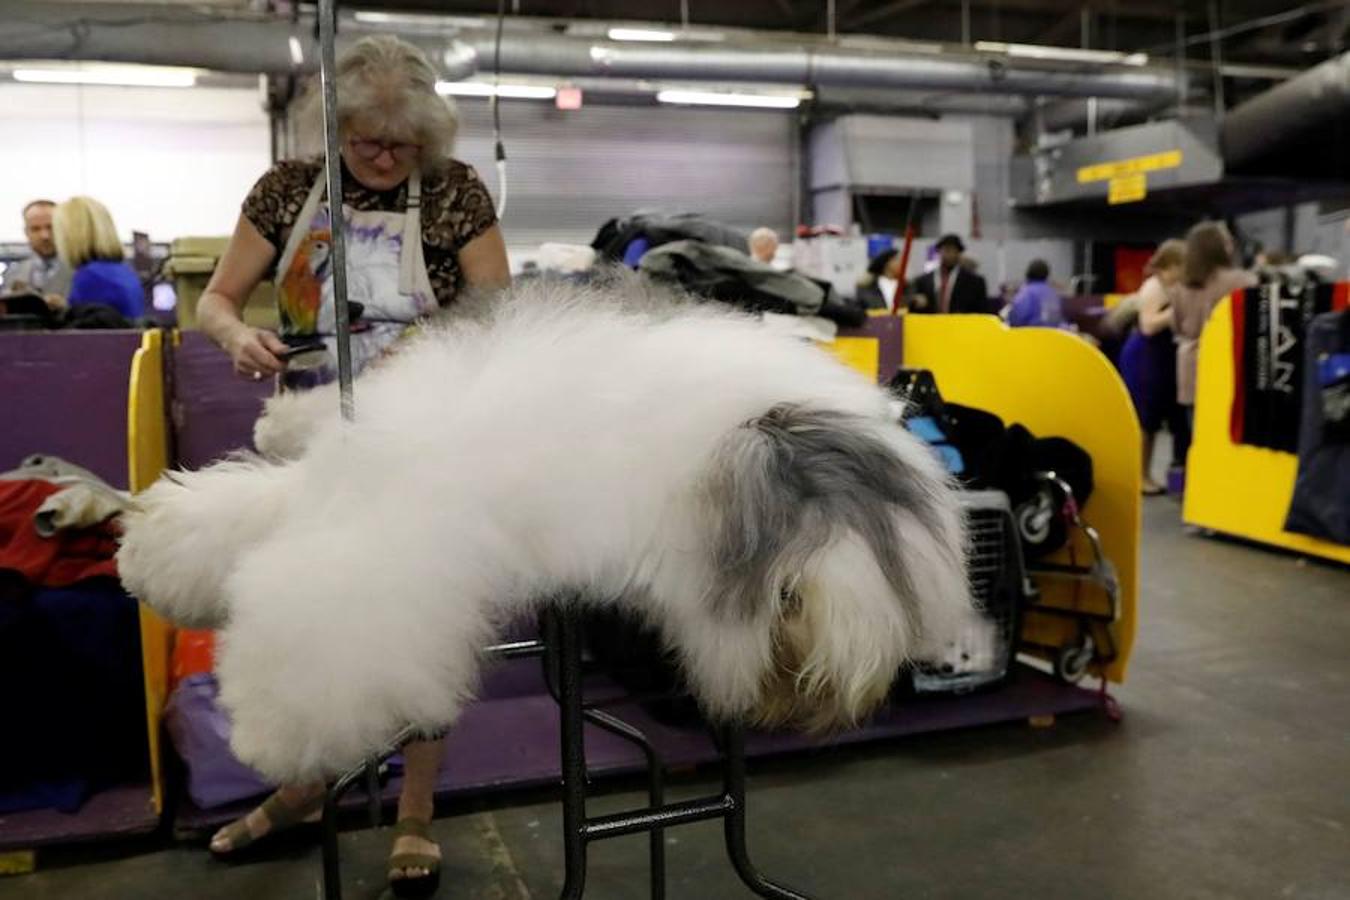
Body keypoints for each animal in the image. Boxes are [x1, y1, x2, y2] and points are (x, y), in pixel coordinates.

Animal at [118, 276, 972, 788]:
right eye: (789, 535)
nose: (838, 668)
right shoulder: (385, 525)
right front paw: (265, 735)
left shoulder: (382, 538)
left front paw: (263, 728)